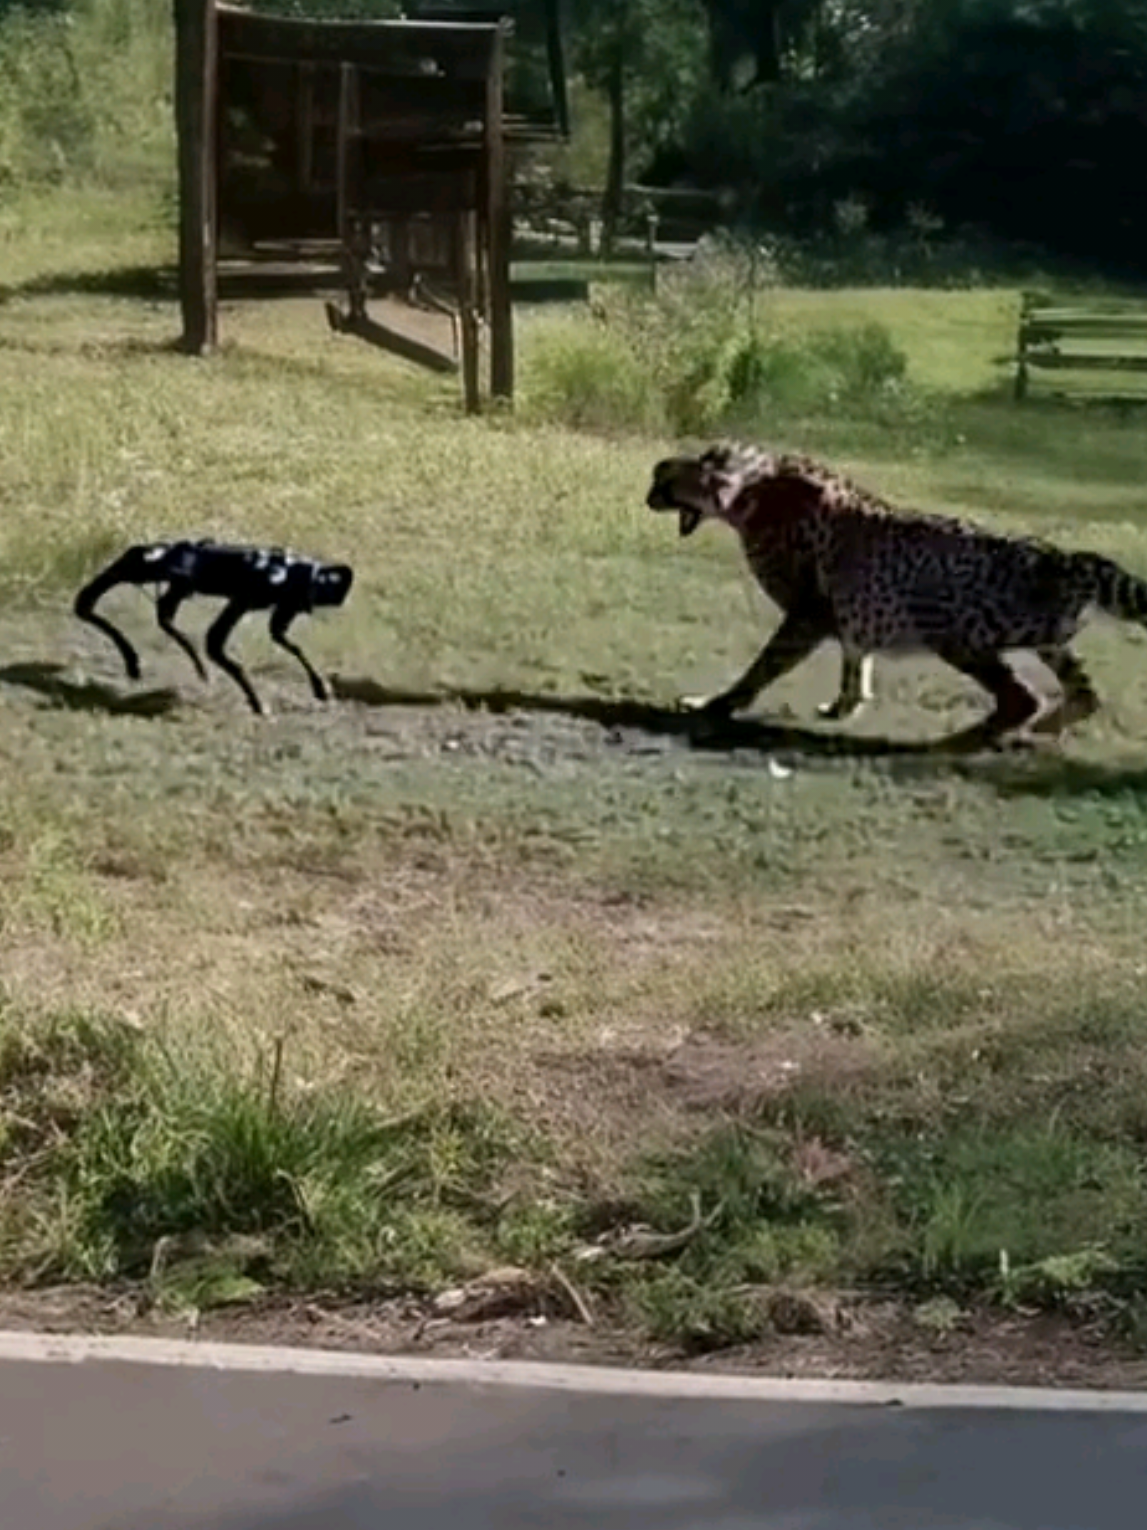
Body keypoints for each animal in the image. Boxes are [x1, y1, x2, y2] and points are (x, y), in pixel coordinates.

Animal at [645, 439, 1147, 747]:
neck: (750, 484)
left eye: (662, 482)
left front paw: (715, 704)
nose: (647, 499)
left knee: (1022, 697)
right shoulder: (848, 610)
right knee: (1085, 694)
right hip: (1049, 639)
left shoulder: (809, 614)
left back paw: (959, 742)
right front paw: (845, 704)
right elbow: (855, 658)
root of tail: (1064, 556)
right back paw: (1042, 727)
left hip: (956, 632)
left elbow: (761, 668)